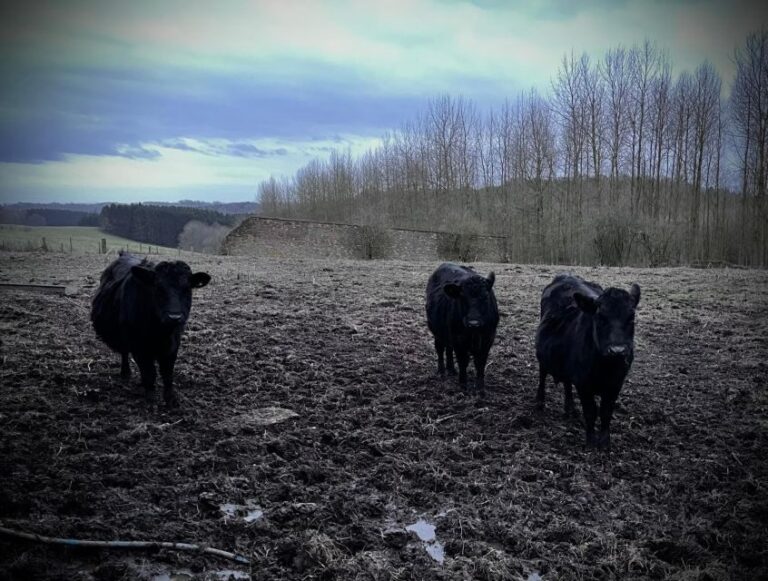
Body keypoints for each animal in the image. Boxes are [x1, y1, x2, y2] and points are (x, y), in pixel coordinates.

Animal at [91, 252, 211, 408]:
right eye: (158, 288)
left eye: (187, 288)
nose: (174, 317)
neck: (159, 332)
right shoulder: (138, 347)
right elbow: (149, 373)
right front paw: (151, 398)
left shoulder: (173, 346)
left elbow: (167, 373)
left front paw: (171, 399)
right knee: (124, 353)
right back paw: (126, 373)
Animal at [426, 262, 499, 393]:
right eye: (462, 297)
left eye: (485, 297)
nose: (473, 323)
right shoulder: (459, 339)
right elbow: (463, 361)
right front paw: (463, 385)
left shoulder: (488, 339)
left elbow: (480, 363)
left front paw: (480, 388)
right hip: (437, 332)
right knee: (440, 349)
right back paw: (441, 371)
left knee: (449, 349)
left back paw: (451, 369)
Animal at [535, 273, 640, 450]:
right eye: (600, 317)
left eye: (631, 318)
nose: (617, 351)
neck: (605, 368)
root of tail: (566, 276)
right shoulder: (583, 384)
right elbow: (591, 412)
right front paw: (591, 442)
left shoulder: (616, 384)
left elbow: (606, 412)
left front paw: (605, 443)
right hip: (543, 355)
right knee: (543, 374)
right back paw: (540, 402)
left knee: (566, 383)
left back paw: (570, 408)